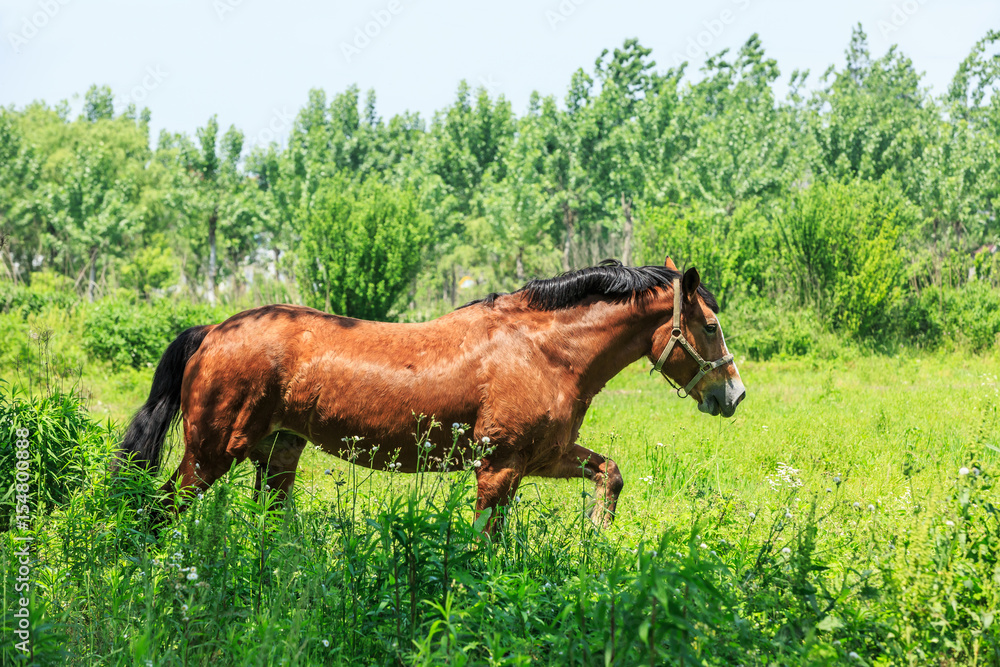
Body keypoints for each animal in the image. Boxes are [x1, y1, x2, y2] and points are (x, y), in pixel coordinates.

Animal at [119, 258, 744, 528]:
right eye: (711, 326)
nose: (732, 395)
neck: (542, 350)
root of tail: (212, 331)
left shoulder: (544, 457)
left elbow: (609, 474)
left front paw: (597, 535)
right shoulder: (499, 468)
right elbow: (485, 541)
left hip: (277, 455)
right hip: (209, 454)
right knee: (157, 510)